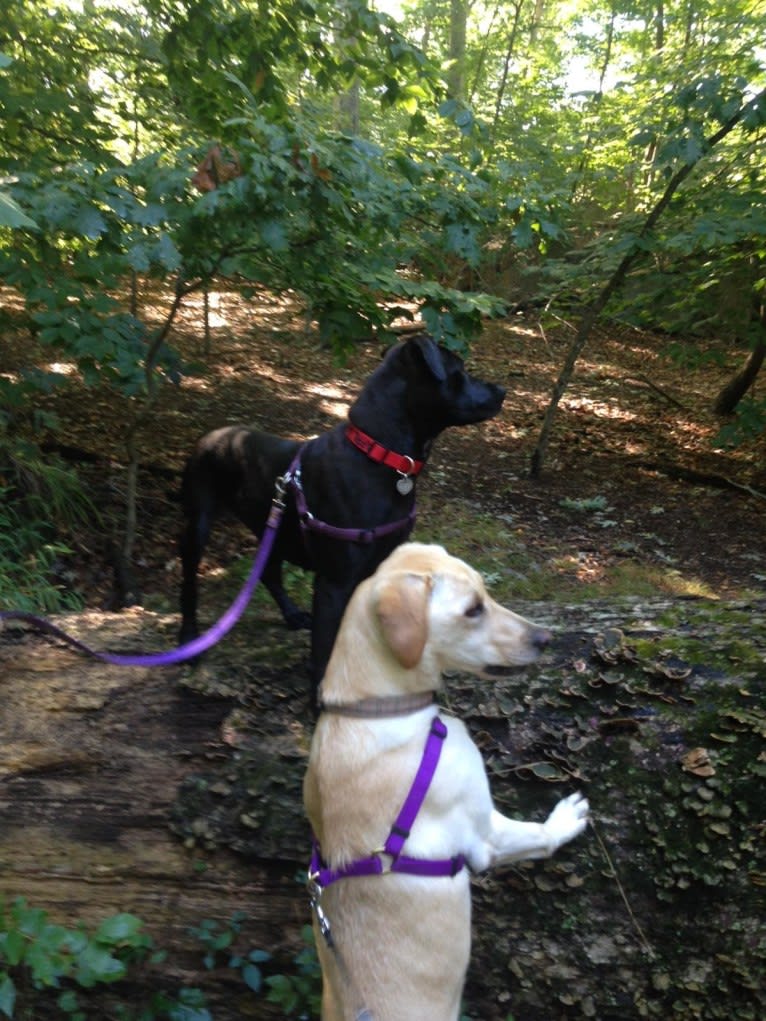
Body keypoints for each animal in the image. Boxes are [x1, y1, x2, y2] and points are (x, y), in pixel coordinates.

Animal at [176, 334, 506, 702]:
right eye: (459, 369)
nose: (502, 390)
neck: (382, 457)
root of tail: (209, 435)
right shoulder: (334, 582)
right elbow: (323, 651)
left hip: (273, 529)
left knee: (270, 573)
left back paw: (291, 614)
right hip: (199, 523)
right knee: (190, 579)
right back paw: (188, 638)